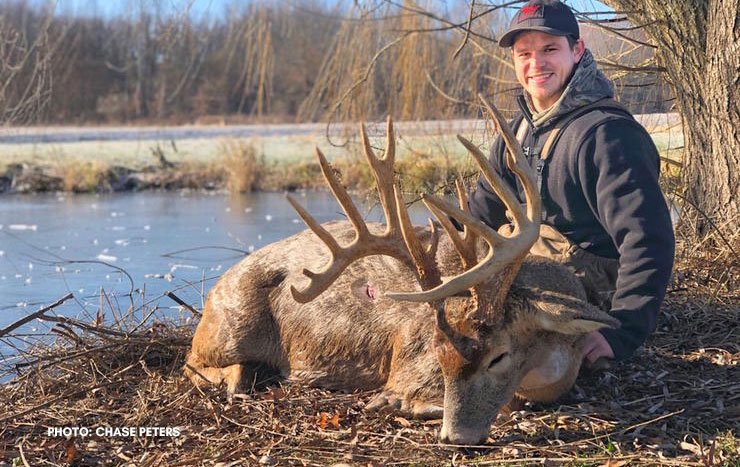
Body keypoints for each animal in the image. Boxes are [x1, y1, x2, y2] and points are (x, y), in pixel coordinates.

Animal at [184, 96, 619, 445]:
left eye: (499, 357)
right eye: (438, 354)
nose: (455, 437)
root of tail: (215, 289)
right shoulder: (408, 366)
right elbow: (405, 396)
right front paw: (401, 402)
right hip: (231, 324)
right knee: (194, 361)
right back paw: (240, 378)